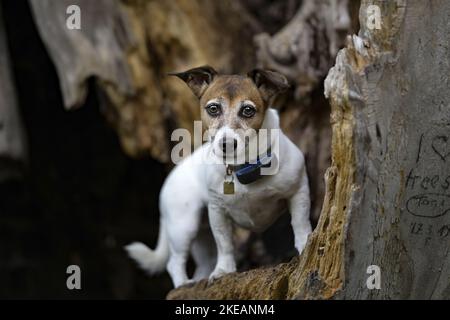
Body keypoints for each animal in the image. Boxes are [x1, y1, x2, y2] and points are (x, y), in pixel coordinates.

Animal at [125, 65, 312, 288]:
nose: (227, 143)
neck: (243, 168)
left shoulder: (298, 192)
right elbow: (225, 244)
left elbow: (300, 223)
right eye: (213, 108)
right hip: (184, 226)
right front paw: (224, 270)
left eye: (248, 110)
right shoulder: (218, 212)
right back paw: (182, 284)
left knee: (201, 266)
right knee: (174, 263)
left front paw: (305, 244)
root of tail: (172, 175)